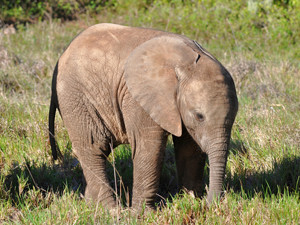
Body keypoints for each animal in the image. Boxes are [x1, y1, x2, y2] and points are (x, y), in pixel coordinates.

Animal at [48, 23, 238, 211]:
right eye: (199, 116)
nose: (211, 204)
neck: (184, 64)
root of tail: (62, 56)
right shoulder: (140, 99)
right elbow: (148, 146)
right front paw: (142, 214)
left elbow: (189, 148)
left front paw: (190, 200)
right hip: (75, 98)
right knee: (94, 147)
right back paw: (112, 211)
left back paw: (91, 205)